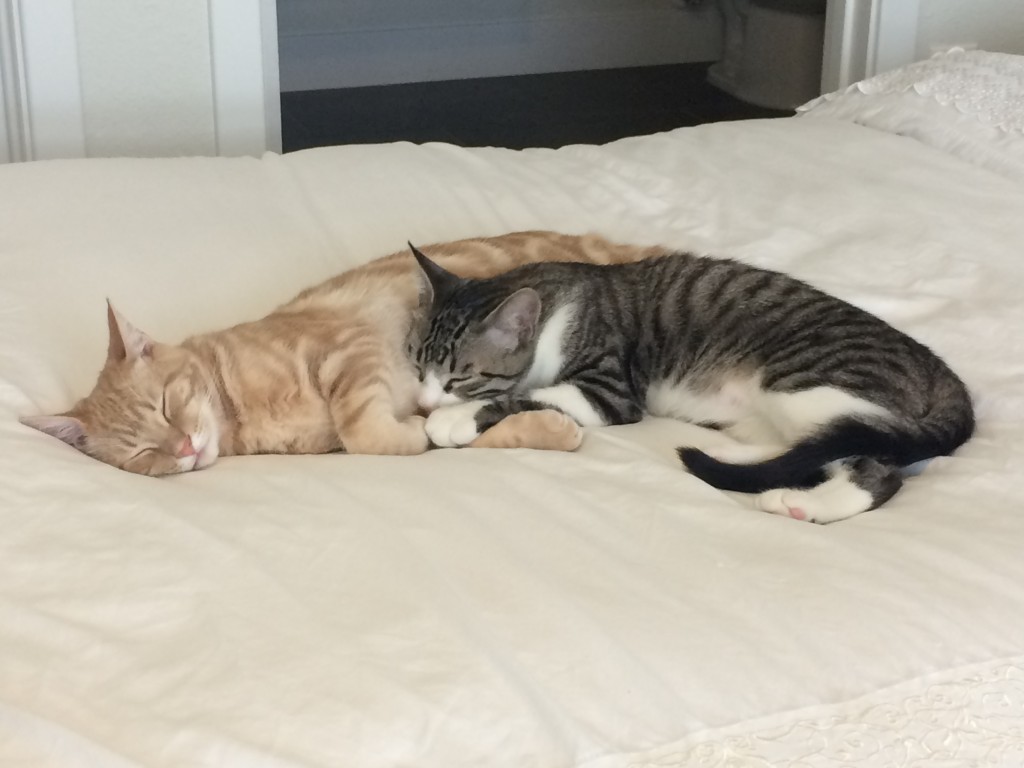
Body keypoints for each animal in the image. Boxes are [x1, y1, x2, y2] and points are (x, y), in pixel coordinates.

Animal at [25, 231, 663, 479]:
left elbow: (367, 431)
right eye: (141, 453)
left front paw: (411, 431)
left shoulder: (347, 353)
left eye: (164, 404)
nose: (183, 447)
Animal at [403, 244, 970, 524]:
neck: (558, 307)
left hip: (808, 382)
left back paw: (805, 504)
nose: (425, 401)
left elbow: (522, 395)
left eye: (459, 378)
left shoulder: (608, 391)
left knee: (873, 464)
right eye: (415, 365)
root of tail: (939, 368)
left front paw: (453, 418)